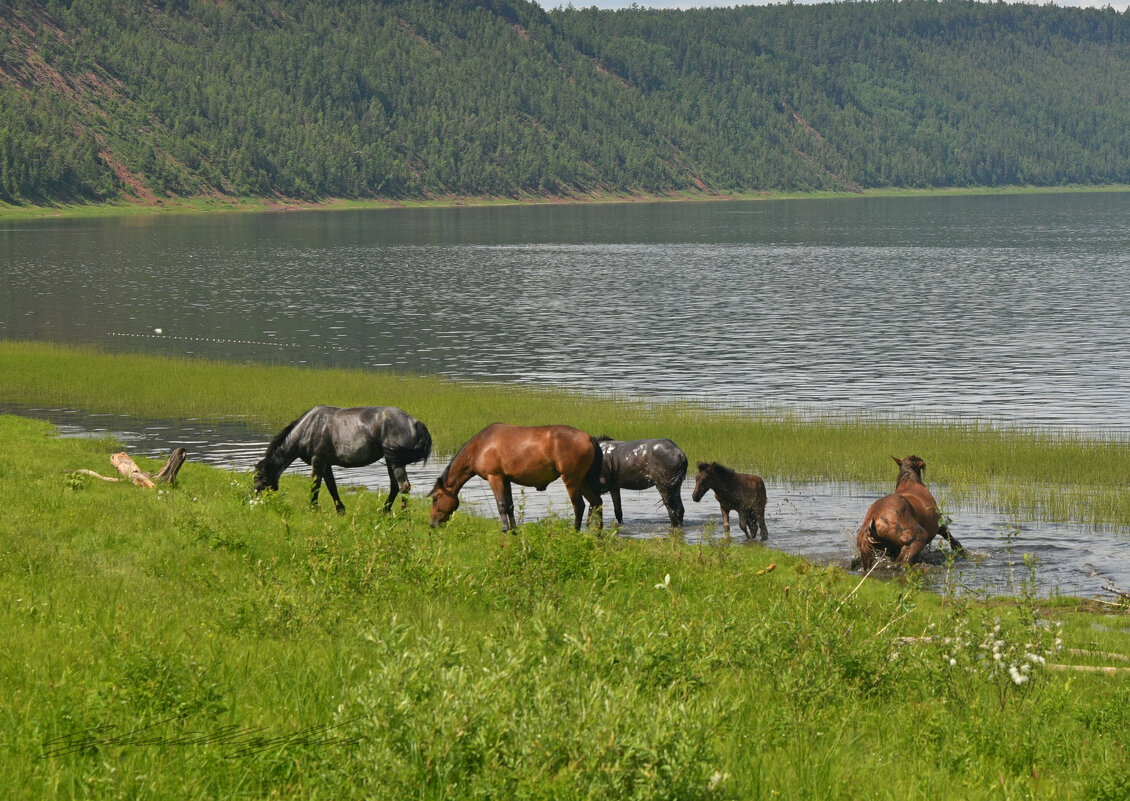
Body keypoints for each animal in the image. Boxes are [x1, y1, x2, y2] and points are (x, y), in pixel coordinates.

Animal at [254, 406, 429, 512]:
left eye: (259, 478)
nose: (255, 499)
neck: (308, 427)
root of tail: (414, 422)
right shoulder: (326, 464)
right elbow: (332, 487)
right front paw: (340, 510)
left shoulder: (318, 461)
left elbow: (315, 486)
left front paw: (313, 508)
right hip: (390, 460)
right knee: (395, 487)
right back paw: (384, 511)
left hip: (396, 462)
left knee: (404, 486)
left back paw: (402, 514)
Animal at [427, 424, 605, 530]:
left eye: (436, 498)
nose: (432, 523)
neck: (480, 446)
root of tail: (589, 437)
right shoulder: (505, 479)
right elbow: (509, 505)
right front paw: (514, 530)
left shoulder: (495, 477)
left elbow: (501, 505)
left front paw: (505, 530)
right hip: (583, 480)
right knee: (596, 502)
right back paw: (597, 534)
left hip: (572, 479)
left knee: (579, 506)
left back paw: (576, 531)